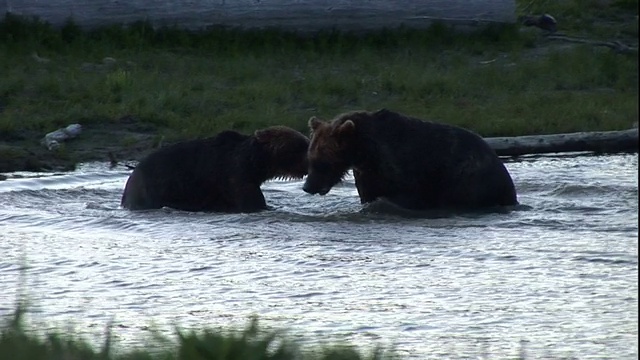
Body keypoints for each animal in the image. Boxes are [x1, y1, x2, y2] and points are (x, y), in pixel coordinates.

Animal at [122, 126, 310, 212]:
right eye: (301, 146)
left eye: (306, 142)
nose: (310, 164)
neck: (254, 164)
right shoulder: (234, 176)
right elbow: (251, 201)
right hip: (153, 188)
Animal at [302, 109, 516, 211]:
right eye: (310, 159)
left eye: (322, 163)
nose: (307, 186)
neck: (365, 153)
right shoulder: (367, 174)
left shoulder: (405, 169)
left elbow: (406, 196)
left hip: (469, 179)